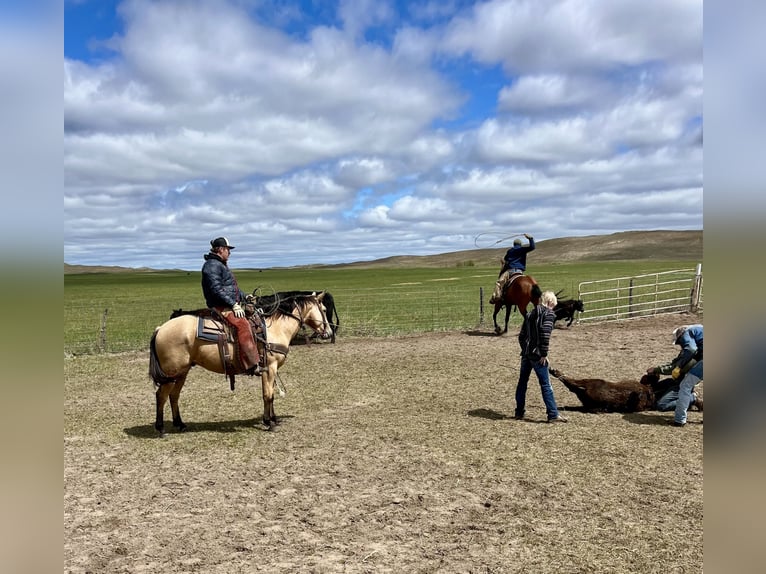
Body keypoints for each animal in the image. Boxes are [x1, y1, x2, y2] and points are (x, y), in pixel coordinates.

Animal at [149, 292, 332, 435]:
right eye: (323, 310)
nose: (329, 333)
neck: (275, 329)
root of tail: (160, 329)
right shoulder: (270, 368)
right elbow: (269, 395)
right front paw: (269, 422)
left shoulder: (268, 369)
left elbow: (269, 393)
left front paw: (272, 419)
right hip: (171, 374)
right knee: (161, 395)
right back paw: (160, 428)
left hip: (182, 372)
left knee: (174, 395)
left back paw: (180, 424)